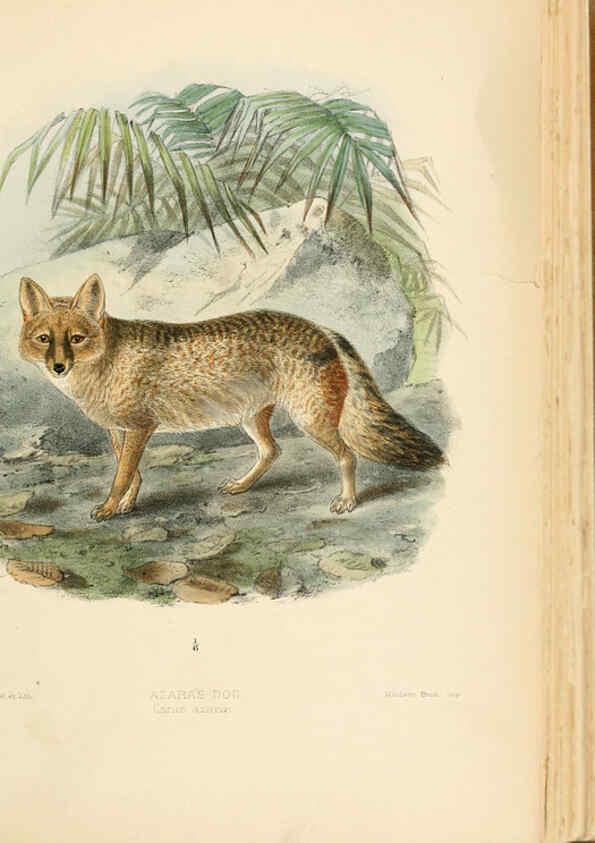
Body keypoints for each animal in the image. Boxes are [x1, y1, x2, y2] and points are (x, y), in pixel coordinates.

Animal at [18, 273, 443, 521]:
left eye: (76, 338)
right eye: (44, 339)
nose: (59, 367)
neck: (105, 362)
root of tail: (322, 328)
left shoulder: (140, 428)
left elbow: (121, 474)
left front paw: (110, 507)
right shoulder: (118, 431)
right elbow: (129, 472)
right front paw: (126, 504)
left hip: (311, 422)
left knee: (347, 456)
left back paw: (347, 501)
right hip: (252, 420)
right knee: (272, 451)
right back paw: (241, 485)